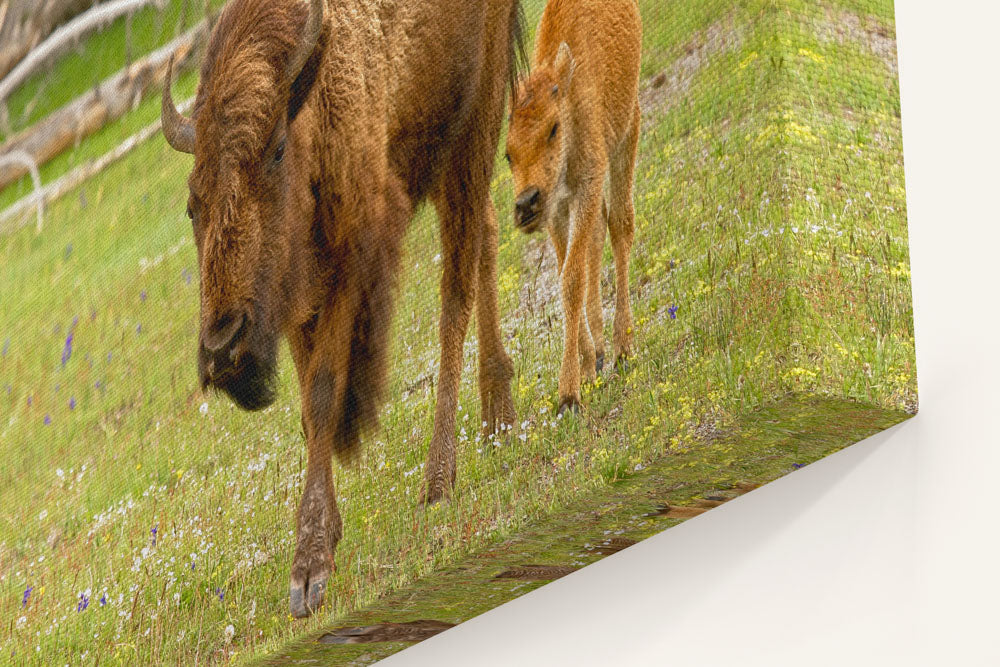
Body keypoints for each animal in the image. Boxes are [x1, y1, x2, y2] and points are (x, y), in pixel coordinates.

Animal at [162, 0, 524, 620]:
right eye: (192, 203)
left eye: (275, 150)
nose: (223, 349)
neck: (310, 97)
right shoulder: (292, 304)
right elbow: (311, 413)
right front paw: (323, 540)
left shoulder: (352, 261)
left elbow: (325, 393)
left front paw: (309, 571)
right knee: (485, 237)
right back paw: (497, 415)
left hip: (473, 122)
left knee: (455, 288)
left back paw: (440, 479)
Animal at [508, 0, 640, 414]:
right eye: (507, 154)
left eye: (552, 129)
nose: (526, 204)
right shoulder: (558, 209)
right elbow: (569, 268)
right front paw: (585, 367)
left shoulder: (586, 186)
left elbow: (571, 279)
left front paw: (568, 395)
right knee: (599, 236)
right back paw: (599, 350)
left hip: (628, 130)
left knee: (620, 225)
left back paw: (623, 348)